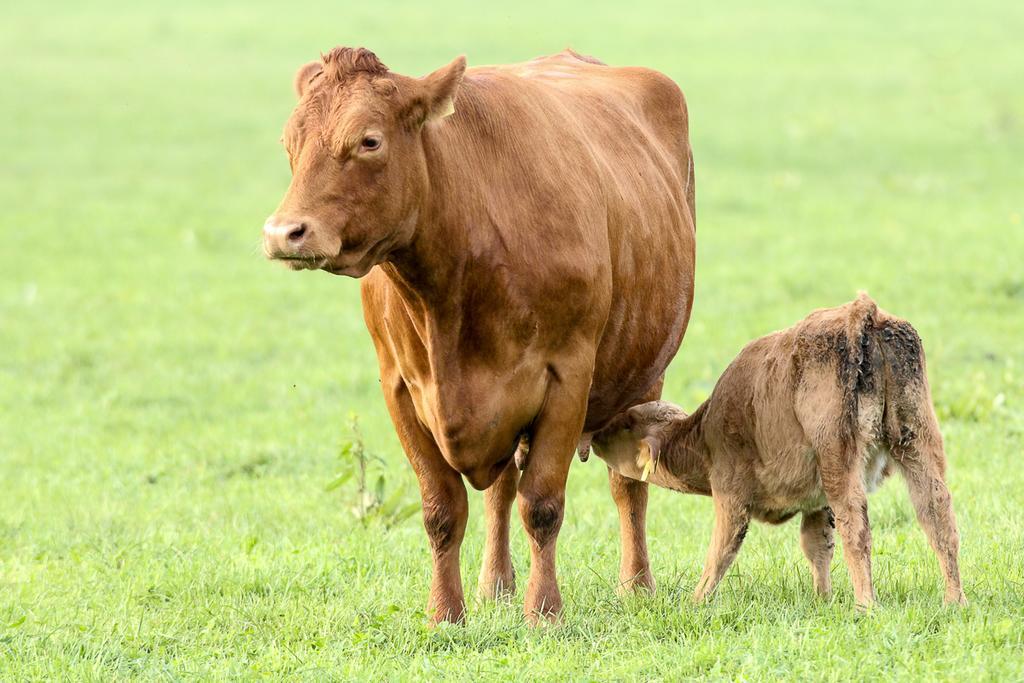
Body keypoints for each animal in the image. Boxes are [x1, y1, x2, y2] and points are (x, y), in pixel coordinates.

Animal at [264, 46, 696, 626]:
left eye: (369, 140)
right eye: (289, 141)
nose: (283, 233)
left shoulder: (567, 375)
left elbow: (543, 504)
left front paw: (544, 611)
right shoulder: (400, 387)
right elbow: (442, 509)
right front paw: (445, 613)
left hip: (645, 374)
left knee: (627, 486)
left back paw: (636, 585)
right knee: (502, 490)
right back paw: (495, 584)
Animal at [593, 294, 966, 610]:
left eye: (626, 423)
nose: (596, 435)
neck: (706, 433)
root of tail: (863, 313)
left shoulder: (731, 495)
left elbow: (722, 550)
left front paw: (696, 601)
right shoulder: (816, 503)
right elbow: (817, 545)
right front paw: (822, 599)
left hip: (839, 458)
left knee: (857, 527)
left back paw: (867, 606)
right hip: (917, 443)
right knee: (938, 516)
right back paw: (954, 600)